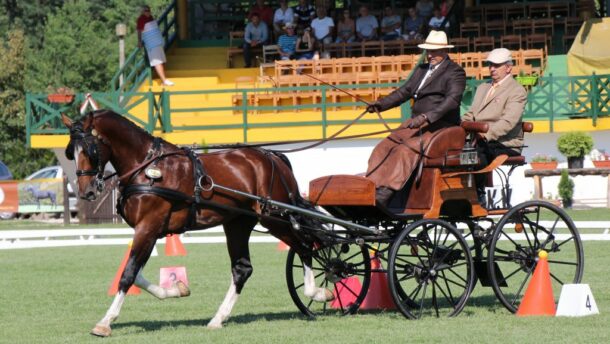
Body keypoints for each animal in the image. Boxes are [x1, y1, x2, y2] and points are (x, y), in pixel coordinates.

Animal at [60, 111, 332, 338]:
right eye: (71, 151)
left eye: (91, 150)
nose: (86, 191)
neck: (147, 167)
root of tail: (272, 156)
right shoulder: (150, 230)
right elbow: (137, 274)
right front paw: (177, 289)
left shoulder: (148, 226)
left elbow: (128, 274)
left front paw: (105, 322)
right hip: (238, 223)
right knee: (243, 269)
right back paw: (218, 319)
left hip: (275, 218)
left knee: (306, 246)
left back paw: (317, 292)